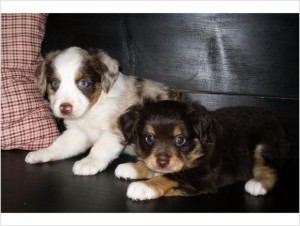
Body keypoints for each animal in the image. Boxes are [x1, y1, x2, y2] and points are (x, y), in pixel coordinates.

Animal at [26, 46, 176, 176]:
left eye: (83, 83)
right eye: (55, 83)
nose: (65, 108)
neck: (93, 108)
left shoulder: (114, 131)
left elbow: (100, 148)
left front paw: (88, 162)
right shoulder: (78, 133)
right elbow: (60, 144)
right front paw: (43, 152)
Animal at [114, 100, 288, 200]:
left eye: (180, 140)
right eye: (149, 138)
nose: (162, 162)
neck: (198, 148)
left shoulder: (202, 178)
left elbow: (171, 176)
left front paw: (144, 187)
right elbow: (154, 166)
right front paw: (133, 167)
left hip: (265, 146)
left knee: (268, 168)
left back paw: (258, 184)